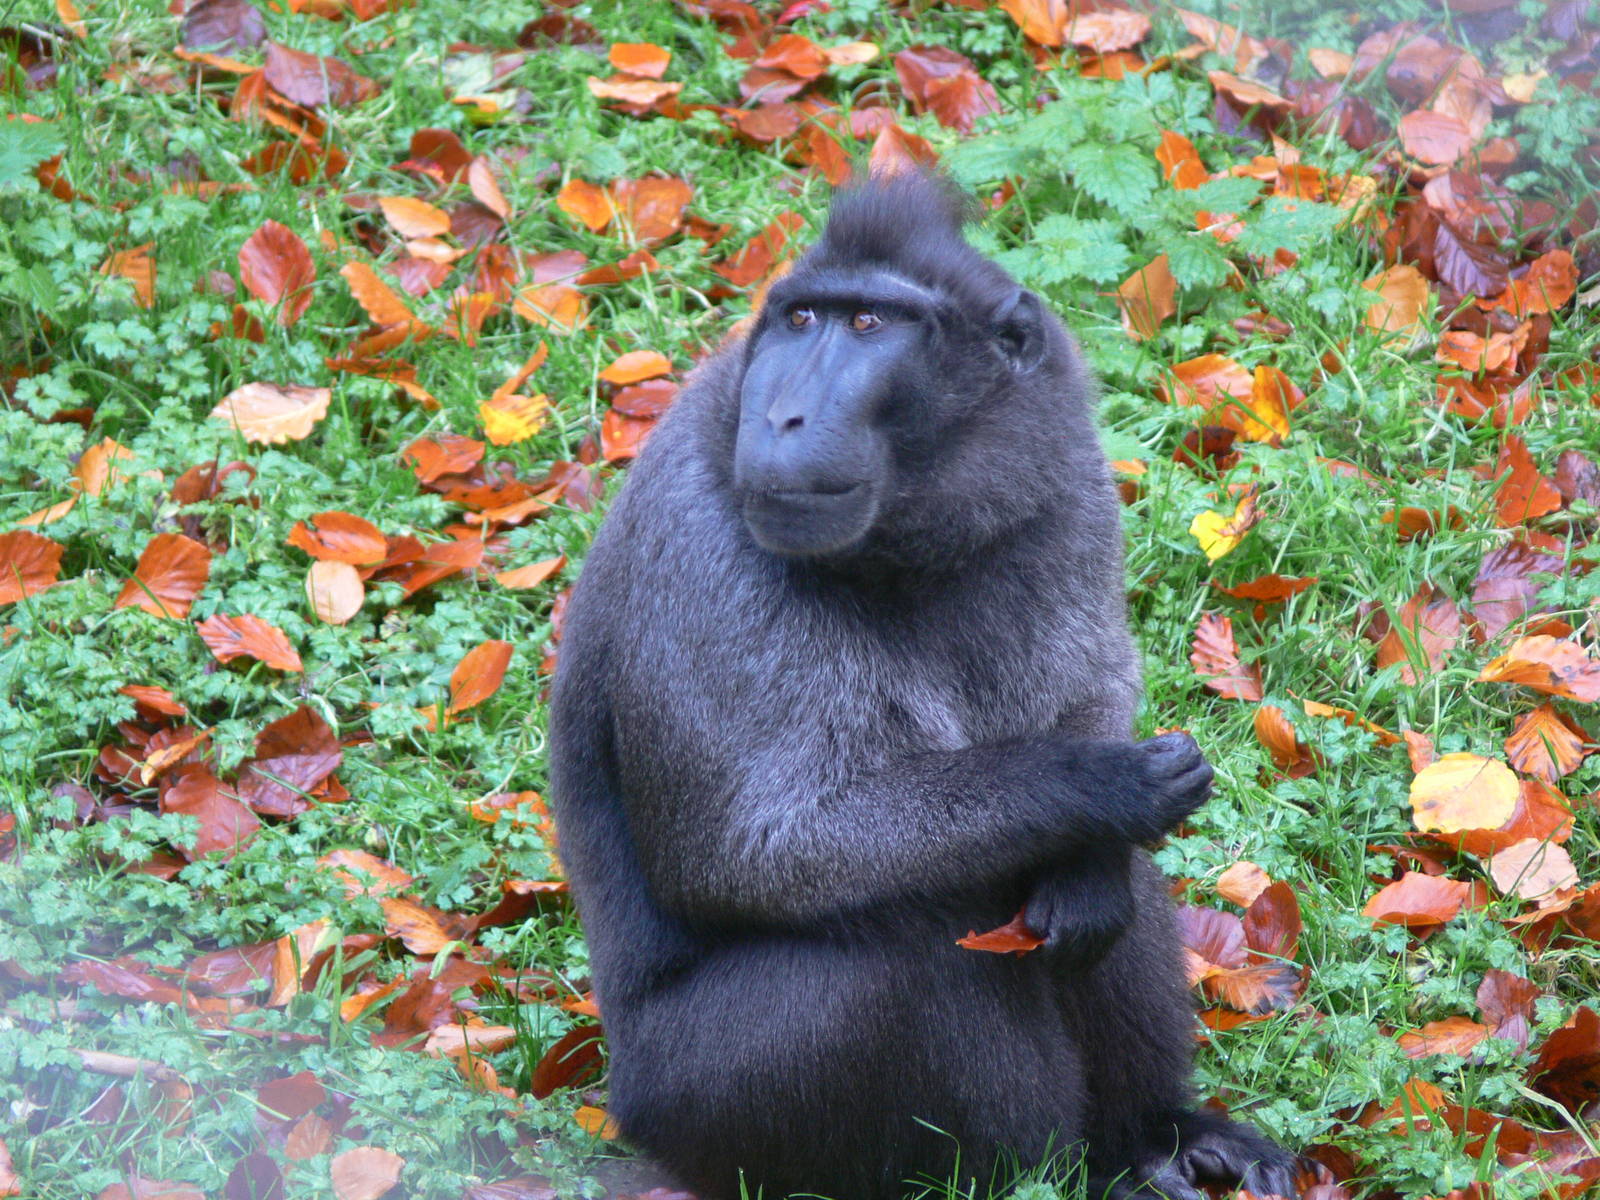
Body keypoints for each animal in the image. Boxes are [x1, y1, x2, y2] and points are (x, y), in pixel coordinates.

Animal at [547, 173, 1299, 1200]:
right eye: (801, 319)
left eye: (869, 323)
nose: (780, 418)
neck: (912, 541)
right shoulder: (700, 548)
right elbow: (745, 853)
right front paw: (1092, 785)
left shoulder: (1066, 475)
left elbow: (1095, 685)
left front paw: (1090, 853)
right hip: (691, 1102)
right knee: (904, 944)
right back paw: (1066, 1172)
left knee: (1094, 893)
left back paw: (1149, 1138)